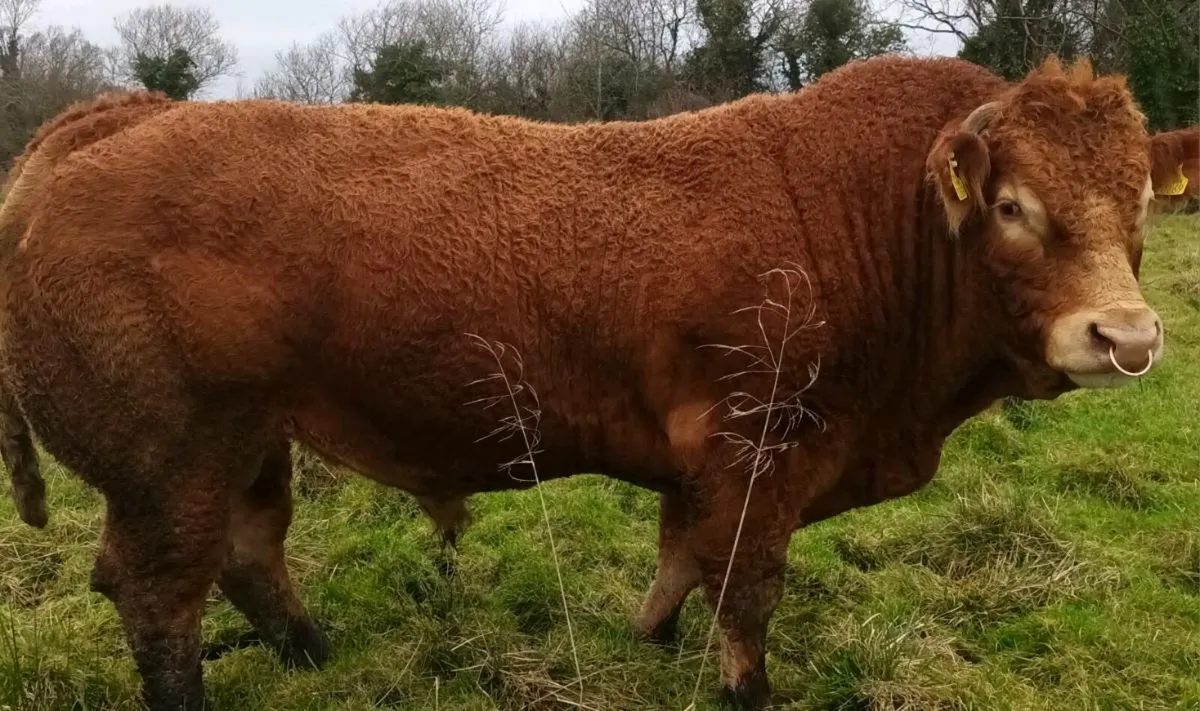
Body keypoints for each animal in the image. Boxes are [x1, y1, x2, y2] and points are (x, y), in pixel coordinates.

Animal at [0, 54, 1195, 710]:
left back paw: (311, 653)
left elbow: (680, 559)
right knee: (159, 598)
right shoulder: (761, 450)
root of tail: (121, 117)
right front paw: (744, 688)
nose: (1126, 334)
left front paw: (649, 641)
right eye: (1012, 205)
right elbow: (745, 590)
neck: (868, 215)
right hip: (171, 465)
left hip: (252, 443)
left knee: (249, 557)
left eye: (1141, 199)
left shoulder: (700, 462)